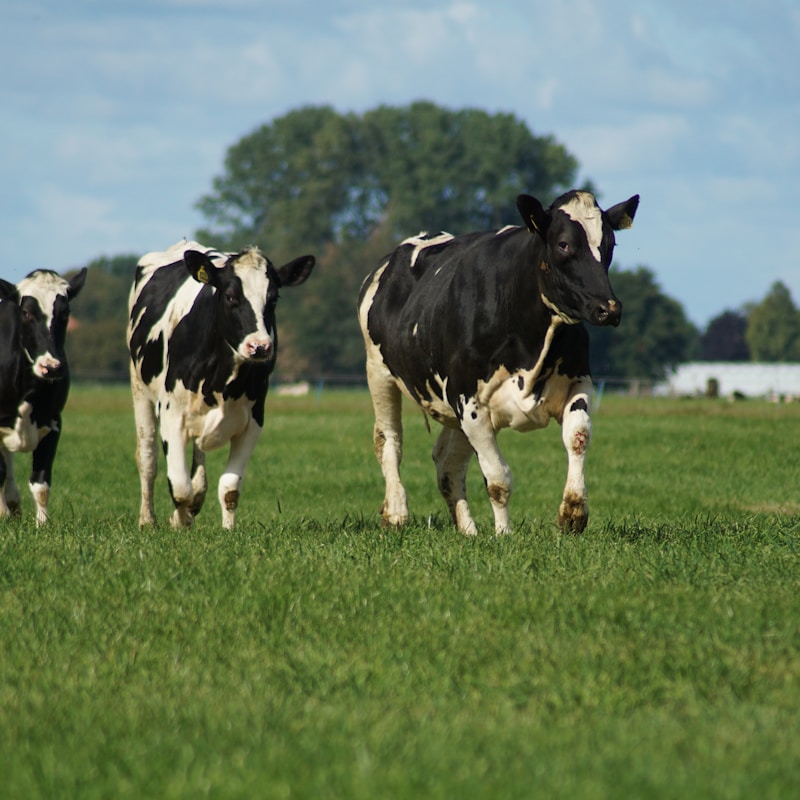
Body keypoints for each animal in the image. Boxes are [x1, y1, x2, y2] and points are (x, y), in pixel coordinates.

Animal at [0, 268, 87, 524]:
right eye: (27, 312)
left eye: (65, 312)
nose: (51, 367)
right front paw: (2, 514)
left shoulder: (53, 421)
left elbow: (41, 482)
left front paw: (43, 524)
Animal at [127, 240, 315, 530]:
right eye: (230, 297)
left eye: (273, 299)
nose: (260, 346)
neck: (222, 378)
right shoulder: (172, 413)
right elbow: (179, 486)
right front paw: (179, 520)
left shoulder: (253, 421)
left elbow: (229, 488)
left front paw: (227, 530)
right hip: (140, 390)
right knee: (148, 458)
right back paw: (148, 519)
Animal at [357, 190, 639, 535]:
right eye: (563, 244)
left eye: (610, 244)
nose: (608, 308)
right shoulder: (469, 402)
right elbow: (498, 479)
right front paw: (504, 535)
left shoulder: (577, 380)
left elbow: (578, 436)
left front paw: (573, 512)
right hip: (379, 372)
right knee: (389, 440)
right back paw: (397, 513)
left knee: (447, 462)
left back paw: (468, 530)